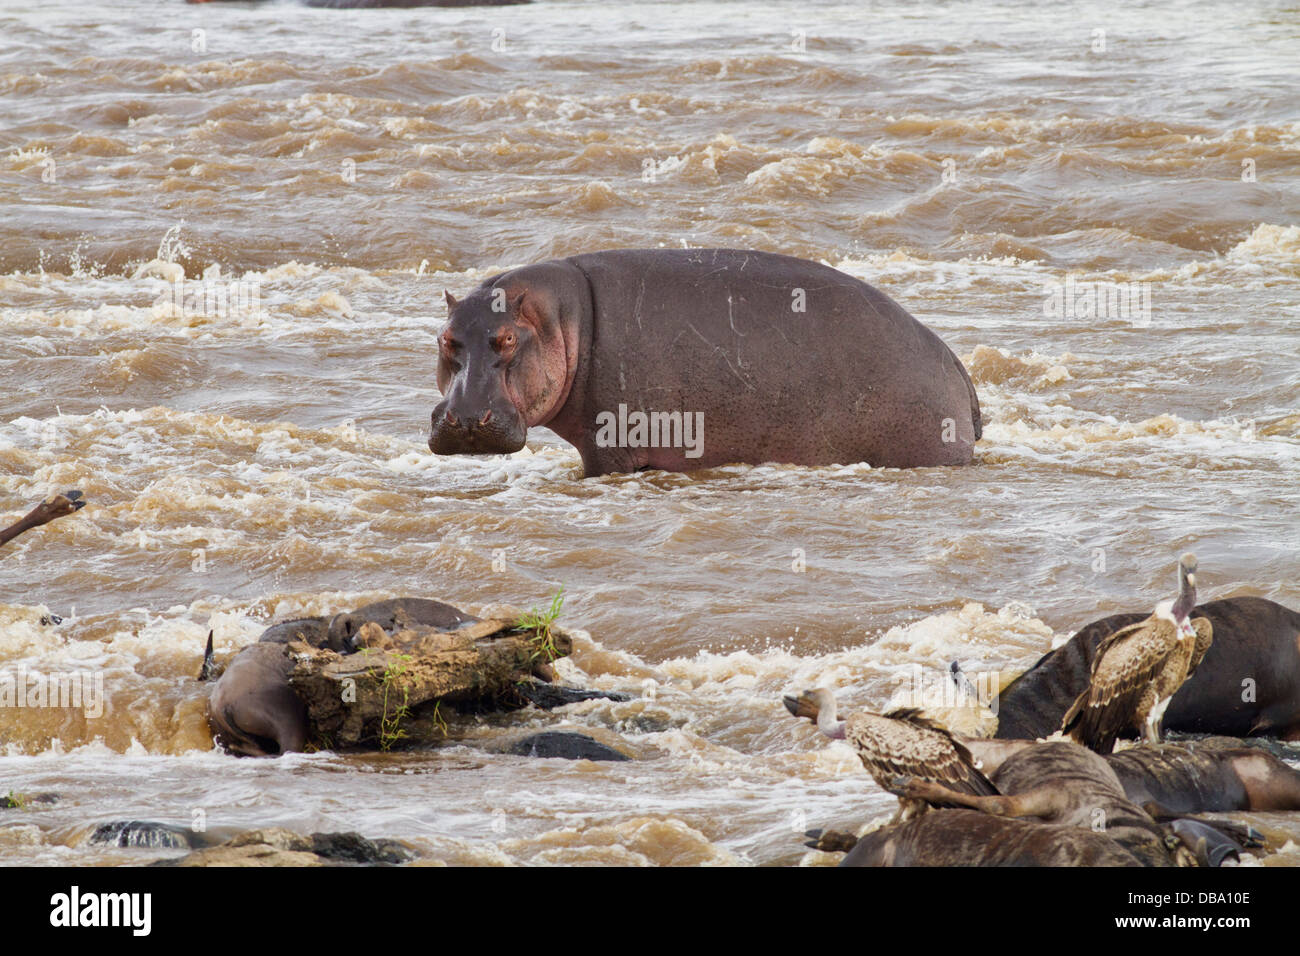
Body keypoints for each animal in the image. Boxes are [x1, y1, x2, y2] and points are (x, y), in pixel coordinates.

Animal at [431, 248, 977, 476]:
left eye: (507, 339)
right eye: (444, 339)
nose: (465, 420)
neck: (561, 319)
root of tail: (954, 363)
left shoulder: (609, 447)